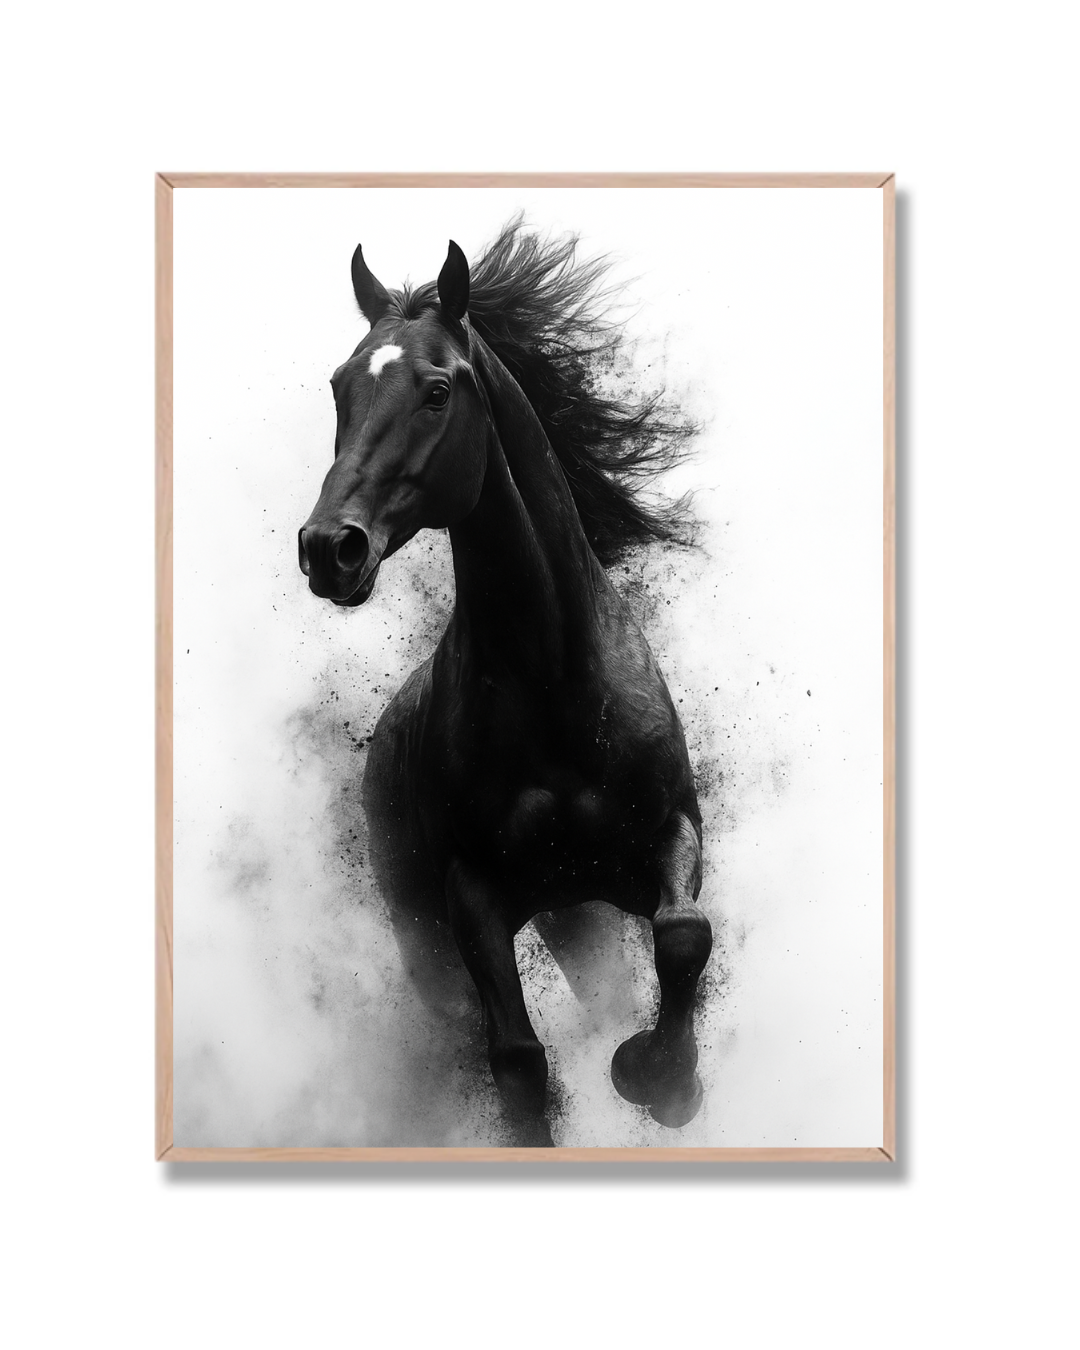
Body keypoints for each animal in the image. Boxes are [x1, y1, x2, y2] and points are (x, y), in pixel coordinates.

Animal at [298, 221, 713, 1146]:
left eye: (436, 390)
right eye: (341, 386)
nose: (328, 548)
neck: (556, 687)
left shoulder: (669, 832)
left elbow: (683, 937)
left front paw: (658, 1077)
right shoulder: (474, 896)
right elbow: (517, 1060)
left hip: (580, 918)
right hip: (433, 933)